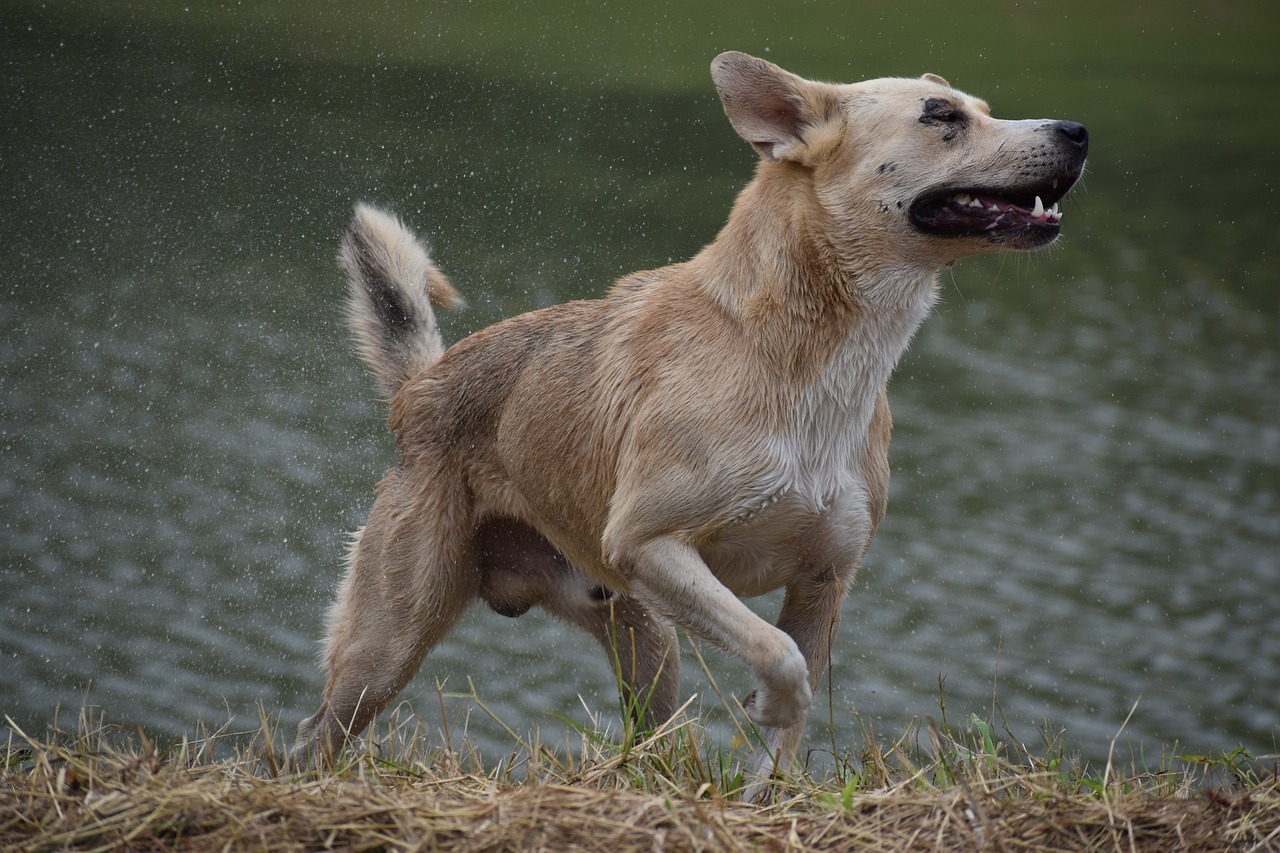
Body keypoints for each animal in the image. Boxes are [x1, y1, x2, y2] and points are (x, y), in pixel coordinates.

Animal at [294, 51, 1085, 783]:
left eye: (982, 109)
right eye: (941, 116)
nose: (1077, 131)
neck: (800, 356)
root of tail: (420, 387)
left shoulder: (825, 578)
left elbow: (785, 725)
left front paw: (767, 782)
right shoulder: (652, 546)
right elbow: (781, 657)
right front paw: (771, 702)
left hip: (647, 641)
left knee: (646, 733)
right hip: (391, 640)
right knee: (315, 732)